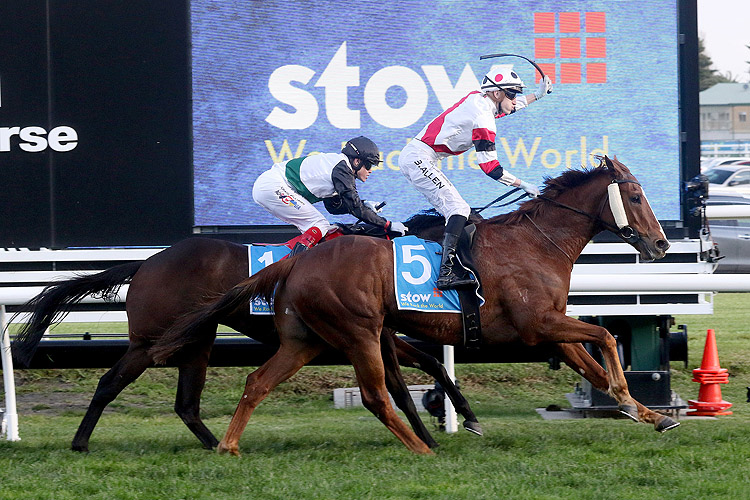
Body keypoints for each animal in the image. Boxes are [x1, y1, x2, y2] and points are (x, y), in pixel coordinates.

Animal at [10, 217, 482, 452]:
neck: (379, 255)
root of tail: (145, 263)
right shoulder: (369, 332)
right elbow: (403, 382)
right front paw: (430, 433)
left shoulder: (375, 332)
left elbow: (431, 361)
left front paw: (455, 414)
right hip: (150, 343)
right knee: (110, 383)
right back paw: (80, 443)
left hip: (196, 343)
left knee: (186, 404)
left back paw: (216, 444)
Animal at [156, 155, 680, 454]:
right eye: (635, 195)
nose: (660, 244)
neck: (536, 242)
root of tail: (298, 259)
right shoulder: (539, 324)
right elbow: (606, 336)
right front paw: (631, 399)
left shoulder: (550, 327)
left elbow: (593, 363)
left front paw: (651, 414)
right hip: (359, 332)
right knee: (375, 395)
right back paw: (422, 450)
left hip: (306, 340)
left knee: (257, 382)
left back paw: (228, 446)